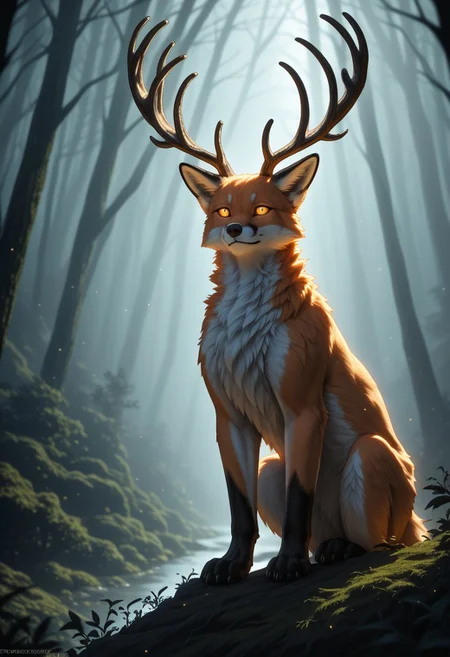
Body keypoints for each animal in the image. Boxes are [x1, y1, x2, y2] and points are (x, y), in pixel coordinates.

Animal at [128, 12, 427, 584]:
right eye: (222, 210)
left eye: (263, 207)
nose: (237, 229)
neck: (248, 336)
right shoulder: (227, 414)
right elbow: (238, 507)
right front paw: (230, 565)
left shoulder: (303, 405)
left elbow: (299, 499)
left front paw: (287, 563)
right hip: (273, 463)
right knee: (320, 524)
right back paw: (322, 548)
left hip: (371, 457)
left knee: (379, 544)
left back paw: (335, 551)